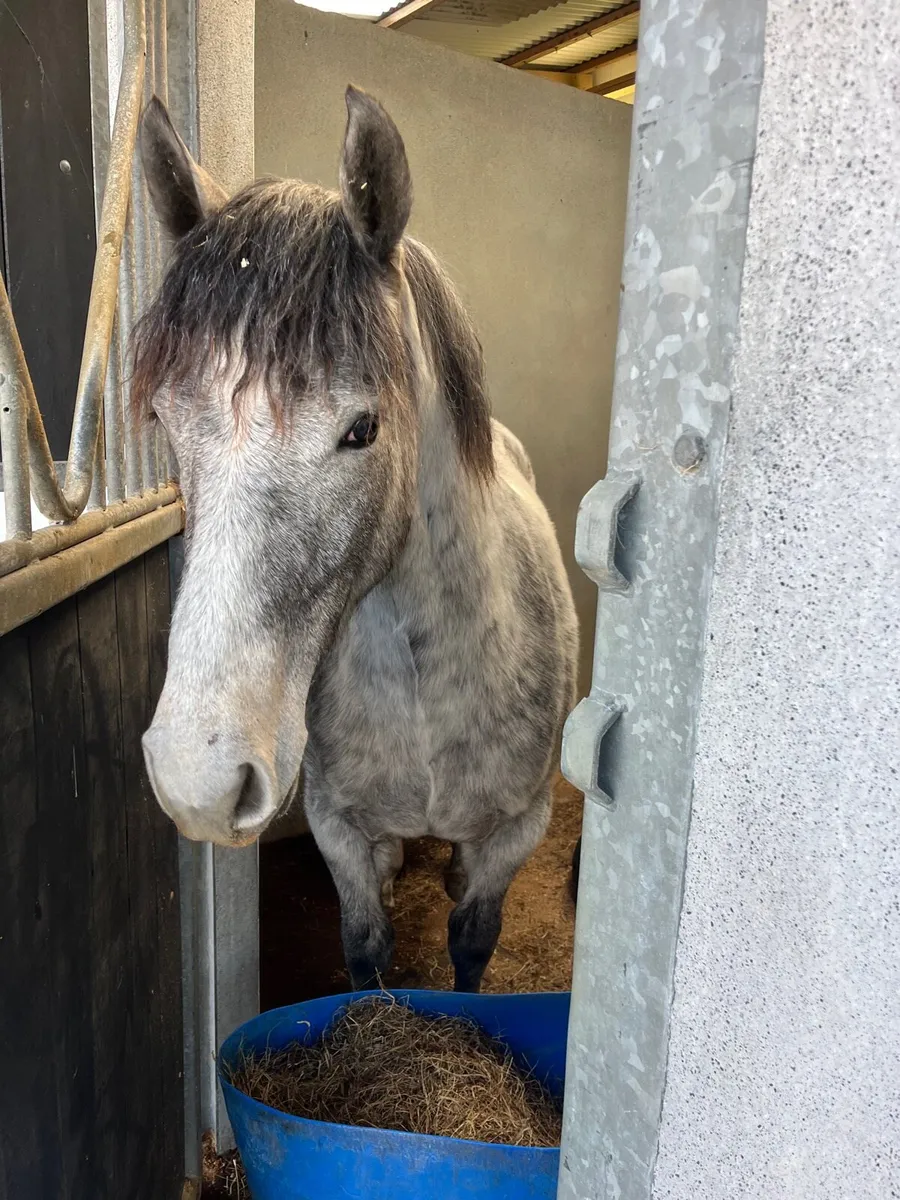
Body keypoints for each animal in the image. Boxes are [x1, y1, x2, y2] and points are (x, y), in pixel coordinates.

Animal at [136, 86, 578, 993]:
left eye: (363, 429)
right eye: (163, 417)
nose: (197, 780)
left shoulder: (518, 831)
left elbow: (473, 946)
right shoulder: (339, 829)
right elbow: (367, 953)